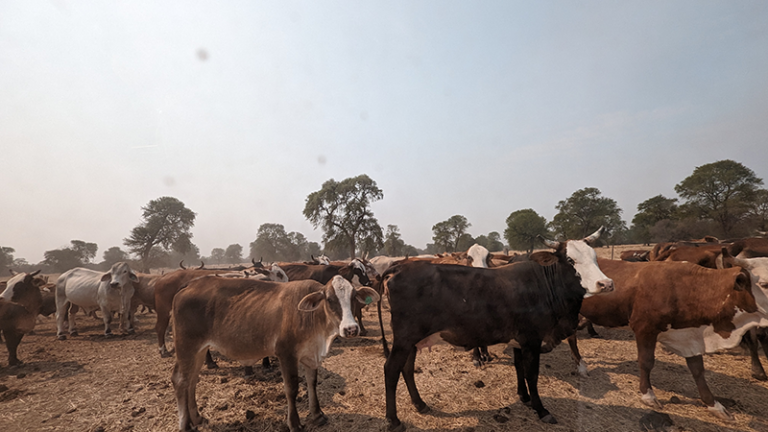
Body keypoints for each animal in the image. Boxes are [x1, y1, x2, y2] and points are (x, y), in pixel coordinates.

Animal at [170, 275, 379, 432]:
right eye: (330, 299)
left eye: (353, 297)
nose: (351, 329)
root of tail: (190, 284)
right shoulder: (286, 354)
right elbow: (292, 388)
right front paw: (294, 424)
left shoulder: (310, 355)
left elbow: (312, 382)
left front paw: (317, 415)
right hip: (186, 346)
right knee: (180, 380)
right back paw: (185, 425)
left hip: (199, 350)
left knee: (191, 380)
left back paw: (197, 418)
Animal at [377, 231, 613, 430]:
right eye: (571, 260)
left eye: (594, 257)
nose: (606, 283)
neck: (544, 287)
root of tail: (400, 267)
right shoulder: (532, 340)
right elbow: (532, 375)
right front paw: (540, 408)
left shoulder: (519, 341)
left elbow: (519, 369)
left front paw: (524, 397)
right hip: (404, 340)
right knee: (391, 370)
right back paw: (393, 420)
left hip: (413, 342)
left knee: (407, 369)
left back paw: (420, 404)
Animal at [566, 255, 759, 420]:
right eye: (763, 284)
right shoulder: (645, 329)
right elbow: (646, 362)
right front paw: (648, 396)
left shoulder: (689, 336)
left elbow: (697, 370)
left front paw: (715, 406)